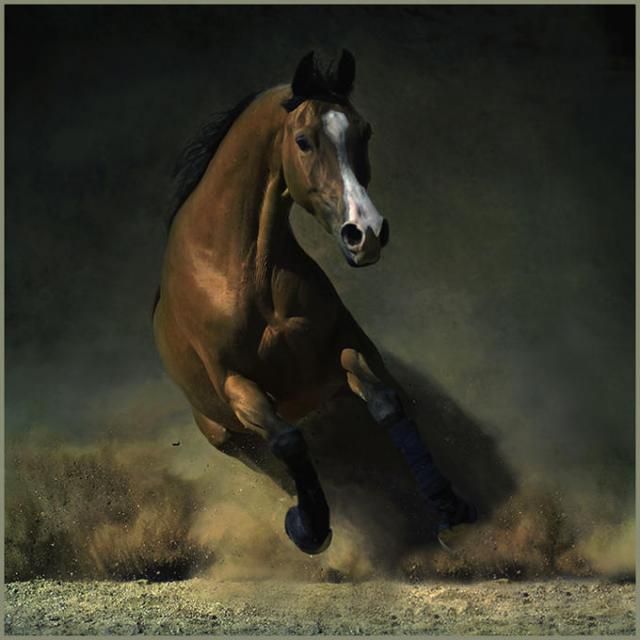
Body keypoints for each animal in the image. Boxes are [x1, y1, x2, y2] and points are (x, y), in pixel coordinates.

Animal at [153, 50, 477, 555]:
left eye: (365, 132)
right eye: (304, 141)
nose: (366, 234)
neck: (244, 270)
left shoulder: (344, 348)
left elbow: (388, 404)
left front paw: (447, 506)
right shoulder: (236, 383)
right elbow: (288, 442)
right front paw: (309, 527)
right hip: (222, 432)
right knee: (266, 458)